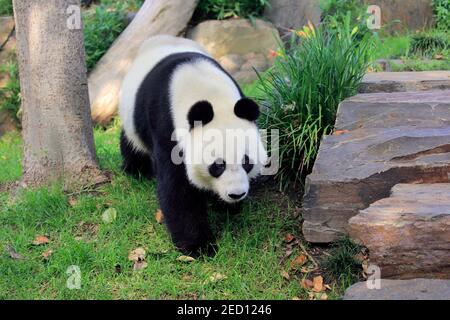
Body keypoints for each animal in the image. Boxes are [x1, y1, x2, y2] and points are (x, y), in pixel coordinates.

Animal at [118, 35, 268, 255]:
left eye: (246, 162)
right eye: (218, 165)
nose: (236, 194)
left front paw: (224, 206)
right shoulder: (167, 126)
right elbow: (178, 190)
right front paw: (199, 246)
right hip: (132, 116)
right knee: (132, 143)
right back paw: (136, 170)